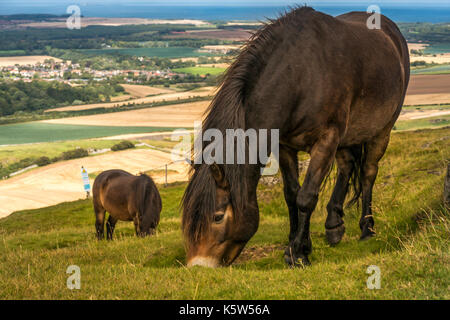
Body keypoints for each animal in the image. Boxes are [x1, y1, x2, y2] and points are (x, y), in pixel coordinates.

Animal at [181, 6, 410, 268]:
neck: (301, 75)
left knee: (368, 173)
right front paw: (297, 241)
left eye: (217, 217)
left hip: (382, 130)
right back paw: (334, 224)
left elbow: (306, 196)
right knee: (347, 166)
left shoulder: (326, 141)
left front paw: (297, 253)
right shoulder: (284, 146)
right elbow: (291, 195)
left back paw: (367, 228)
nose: (198, 266)